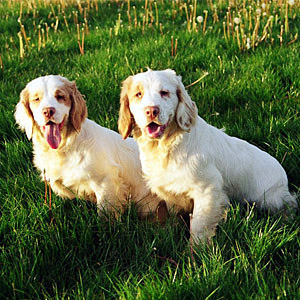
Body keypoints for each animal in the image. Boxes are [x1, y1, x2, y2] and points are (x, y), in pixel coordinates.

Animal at [14, 74, 164, 217]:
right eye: (36, 99)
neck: (65, 147)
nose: (48, 111)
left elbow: (105, 213)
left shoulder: (106, 181)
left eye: (60, 96)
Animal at [118, 68, 298, 241]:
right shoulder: (171, 193)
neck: (167, 146)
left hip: (271, 199)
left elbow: (199, 226)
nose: (151, 111)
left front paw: (196, 250)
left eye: (164, 92)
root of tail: (283, 176)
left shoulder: (207, 190)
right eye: (138, 94)